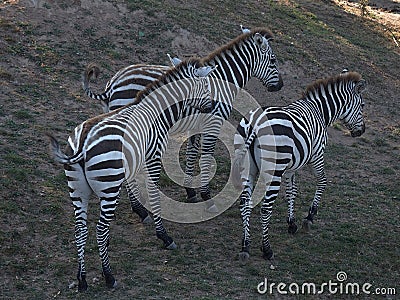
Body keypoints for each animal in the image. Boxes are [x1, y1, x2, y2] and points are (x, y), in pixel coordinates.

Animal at [47, 58, 219, 290]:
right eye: (206, 86)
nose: (212, 108)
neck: (157, 111)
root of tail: (82, 143)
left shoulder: (135, 161)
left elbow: (135, 185)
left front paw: (140, 211)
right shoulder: (153, 157)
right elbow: (154, 195)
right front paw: (163, 236)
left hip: (77, 190)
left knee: (80, 229)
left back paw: (82, 279)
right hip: (109, 187)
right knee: (100, 229)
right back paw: (109, 276)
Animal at [83, 25, 284, 213]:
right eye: (273, 60)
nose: (280, 86)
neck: (222, 80)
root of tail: (112, 83)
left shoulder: (196, 125)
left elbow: (191, 154)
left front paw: (191, 192)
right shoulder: (214, 122)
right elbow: (205, 157)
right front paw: (207, 198)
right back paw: (139, 207)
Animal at [233, 71, 368, 262]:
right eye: (362, 105)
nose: (361, 131)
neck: (320, 112)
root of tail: (256, 122)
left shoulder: (291, 168)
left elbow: (292, 191)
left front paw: (291, 223)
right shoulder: (317, 155)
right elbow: (322, 181)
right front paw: (309, 217)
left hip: (248, 168)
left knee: (245, 203)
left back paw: (245, 246)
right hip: (274, 170)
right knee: (266, 208)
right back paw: (267, 250)